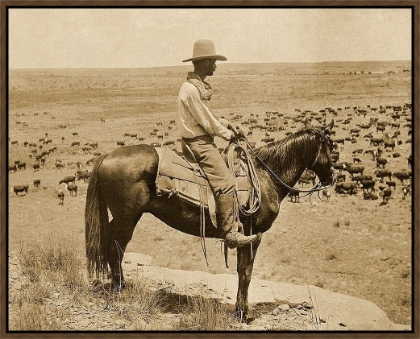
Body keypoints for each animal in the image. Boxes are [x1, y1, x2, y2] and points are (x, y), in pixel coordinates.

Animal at [84, 119, 334, 322]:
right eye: (331, 147)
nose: (331, 177)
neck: (265, 179)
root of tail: (106, 157)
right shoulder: (253, 235)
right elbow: (246, 272)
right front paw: (242, 313)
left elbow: (242, 271)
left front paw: (241, 310)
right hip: (127, 218)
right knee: (115, 248)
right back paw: (120, 289)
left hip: (121, 218)